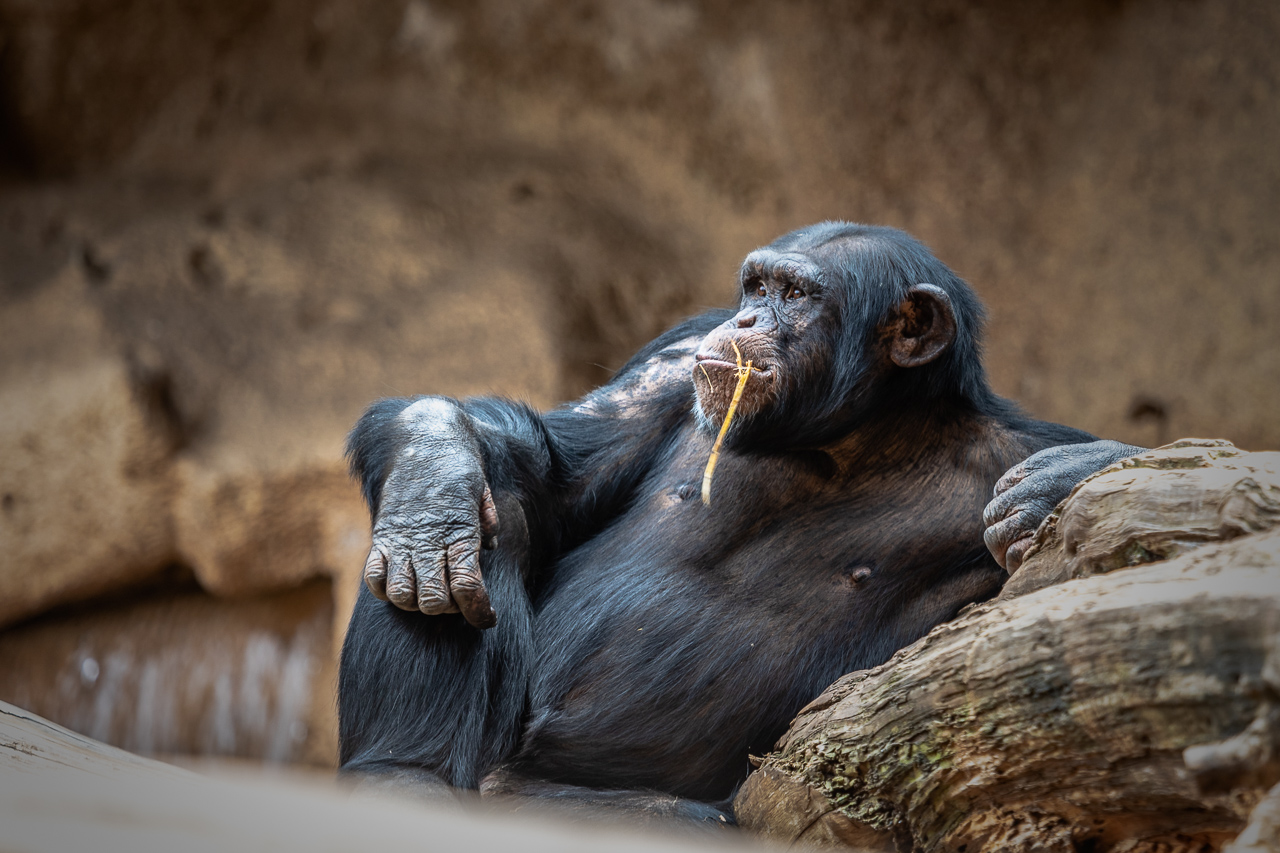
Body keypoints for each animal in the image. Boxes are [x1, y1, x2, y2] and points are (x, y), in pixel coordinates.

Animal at [337, 222, 1141, 819]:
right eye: (756, 286)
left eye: (797, 293)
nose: (747, 318)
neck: (842, 437)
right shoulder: (672, 360)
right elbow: (554, 468)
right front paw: (433, 480)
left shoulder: (1012, 449)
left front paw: (1067, 477)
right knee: (494, 512)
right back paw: (402, 773)